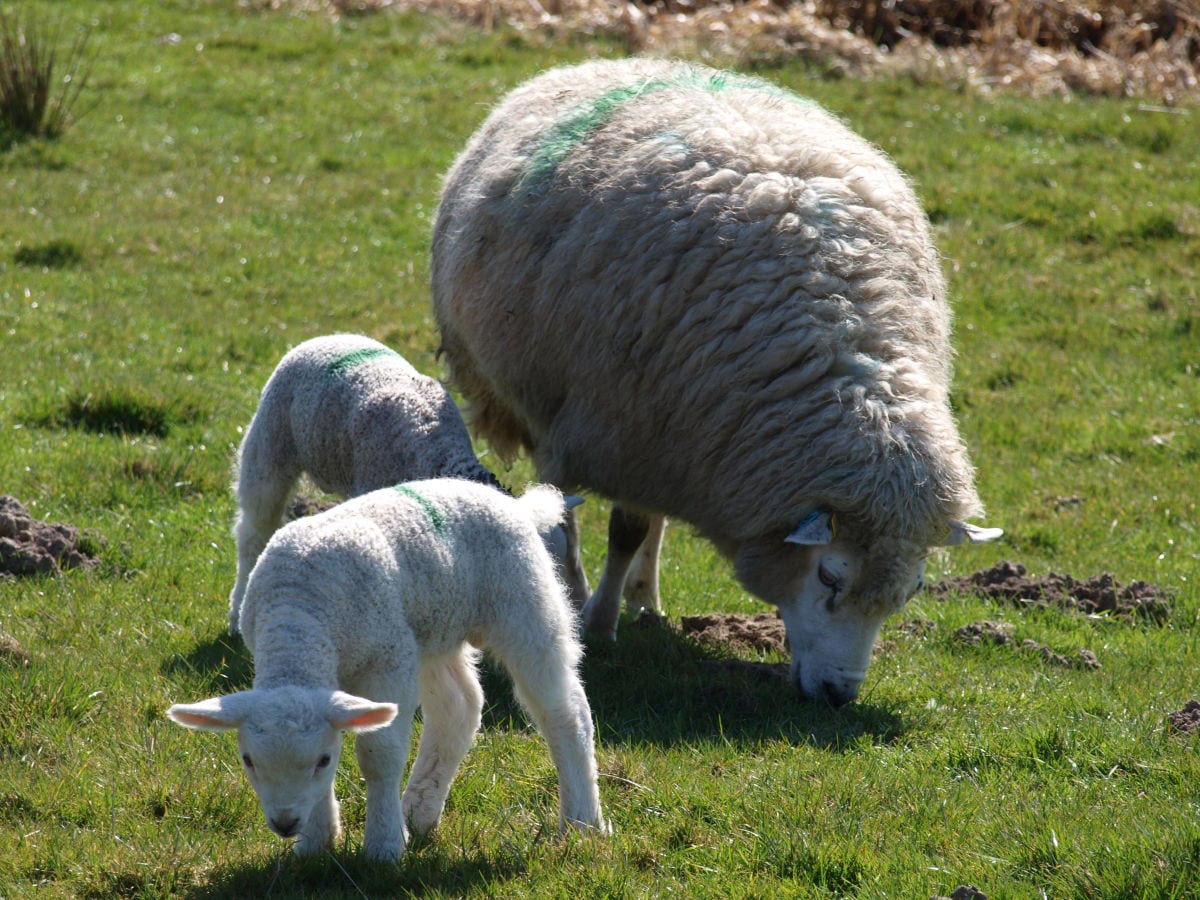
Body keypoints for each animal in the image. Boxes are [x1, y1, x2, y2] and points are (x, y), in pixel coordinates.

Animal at [166, 482, 609, 864]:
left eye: (323, 760)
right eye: (248, 760)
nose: (286, 823)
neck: (298, 616)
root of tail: (516, 505)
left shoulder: (387, 662)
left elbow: (380, 756)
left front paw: (383, 846)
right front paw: (317, 842)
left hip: (523, 599)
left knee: (565, 711)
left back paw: (583, 821)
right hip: (430, 631)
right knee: (459, 707)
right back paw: (418, 811)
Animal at [432, 56, 1003, 710]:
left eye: (908, 593)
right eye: (829, 575)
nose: (838, 695)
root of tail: (620, 61)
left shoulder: (669, 436)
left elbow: (636, 527)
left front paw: (622, 604)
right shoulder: (613, 425)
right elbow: (607, 529)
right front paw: (592, 619)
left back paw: (646, 597)